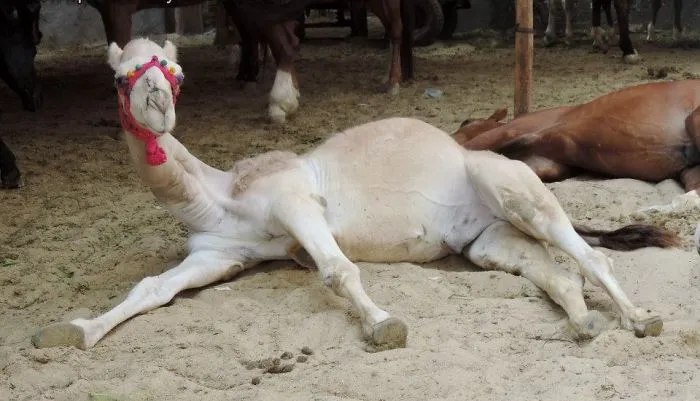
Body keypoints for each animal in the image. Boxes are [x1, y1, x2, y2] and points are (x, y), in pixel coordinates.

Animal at [452, 80, 700, 216]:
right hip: (689, 168)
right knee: (691, 197)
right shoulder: (546, 161)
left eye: (466, 122)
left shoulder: (512, 132)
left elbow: (468, 148)